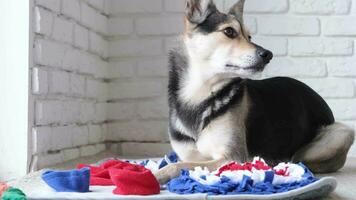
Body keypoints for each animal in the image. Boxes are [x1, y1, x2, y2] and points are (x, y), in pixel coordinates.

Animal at [154, 0, 354, 184]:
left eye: (249, 36)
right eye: (229, 31)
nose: (268, 55)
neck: (199, 94)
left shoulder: (233, 157)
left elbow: (177, 165)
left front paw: (156, 175)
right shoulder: (189, 155)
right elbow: (178, 162)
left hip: (342, 133)